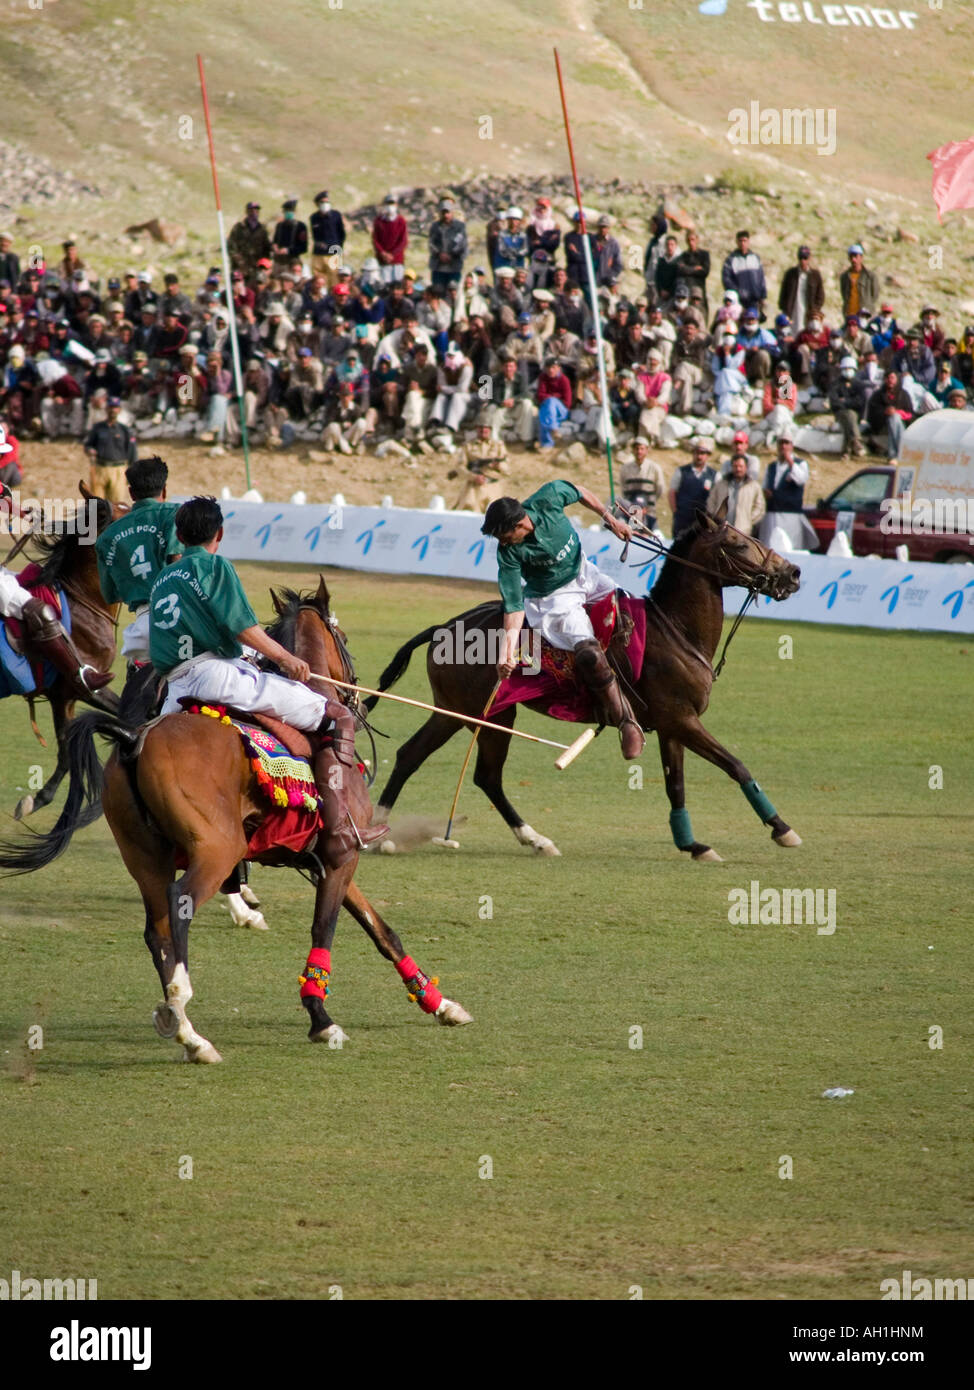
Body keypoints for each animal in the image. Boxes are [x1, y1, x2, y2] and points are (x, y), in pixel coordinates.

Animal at [0, 578, 472, 1061]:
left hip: (145, 856)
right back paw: (184, 1010)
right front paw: (321, 1018)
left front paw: (440, 1003)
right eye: (342, 636)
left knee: (156, 929)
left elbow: (381, 930)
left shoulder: (335, 858)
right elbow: (325, 927)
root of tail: (133, 739)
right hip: (217, 849)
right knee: (179, 906)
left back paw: (189, 1031)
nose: (357, 693)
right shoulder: (341, 856)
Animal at [369, 505, 800, 861]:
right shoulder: (681, 719)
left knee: (428, 760)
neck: (677, 630)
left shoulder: (672, 726)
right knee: (472, 771)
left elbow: (675, 785)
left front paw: (692, 844)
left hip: (463, 710)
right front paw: (782, 829)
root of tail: (444, 626)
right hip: (481, 712)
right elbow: (736, 765)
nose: (793, 574)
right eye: (739, 544)